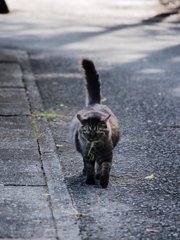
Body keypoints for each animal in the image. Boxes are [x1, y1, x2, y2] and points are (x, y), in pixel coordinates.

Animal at [71, 57, 120, 188]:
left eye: (97, 131)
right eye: (87, 131)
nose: (91, 138)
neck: (95, 148)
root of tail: (95, 104)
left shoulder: (107, 155)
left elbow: (105, 168)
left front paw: (103, 181)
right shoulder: (87, 154)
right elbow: (89, 167)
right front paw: (90, 180)